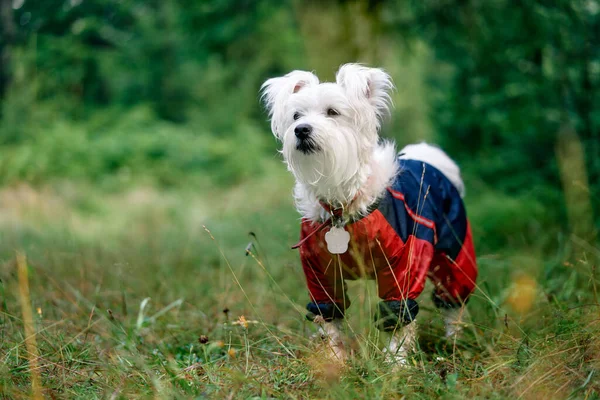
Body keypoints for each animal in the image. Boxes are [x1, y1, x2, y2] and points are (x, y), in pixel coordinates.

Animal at [260, 65, 476, 366]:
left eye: (332, 112)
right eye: (295, 116)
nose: (301, 129)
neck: (342, 207)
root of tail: (429, 160)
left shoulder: (404, 265)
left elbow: (398, 316)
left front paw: (396, 362)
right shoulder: (320, 273)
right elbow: (330, 319)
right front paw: (334, 361)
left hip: (454, 254)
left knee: (452, 304)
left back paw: (454, 342)